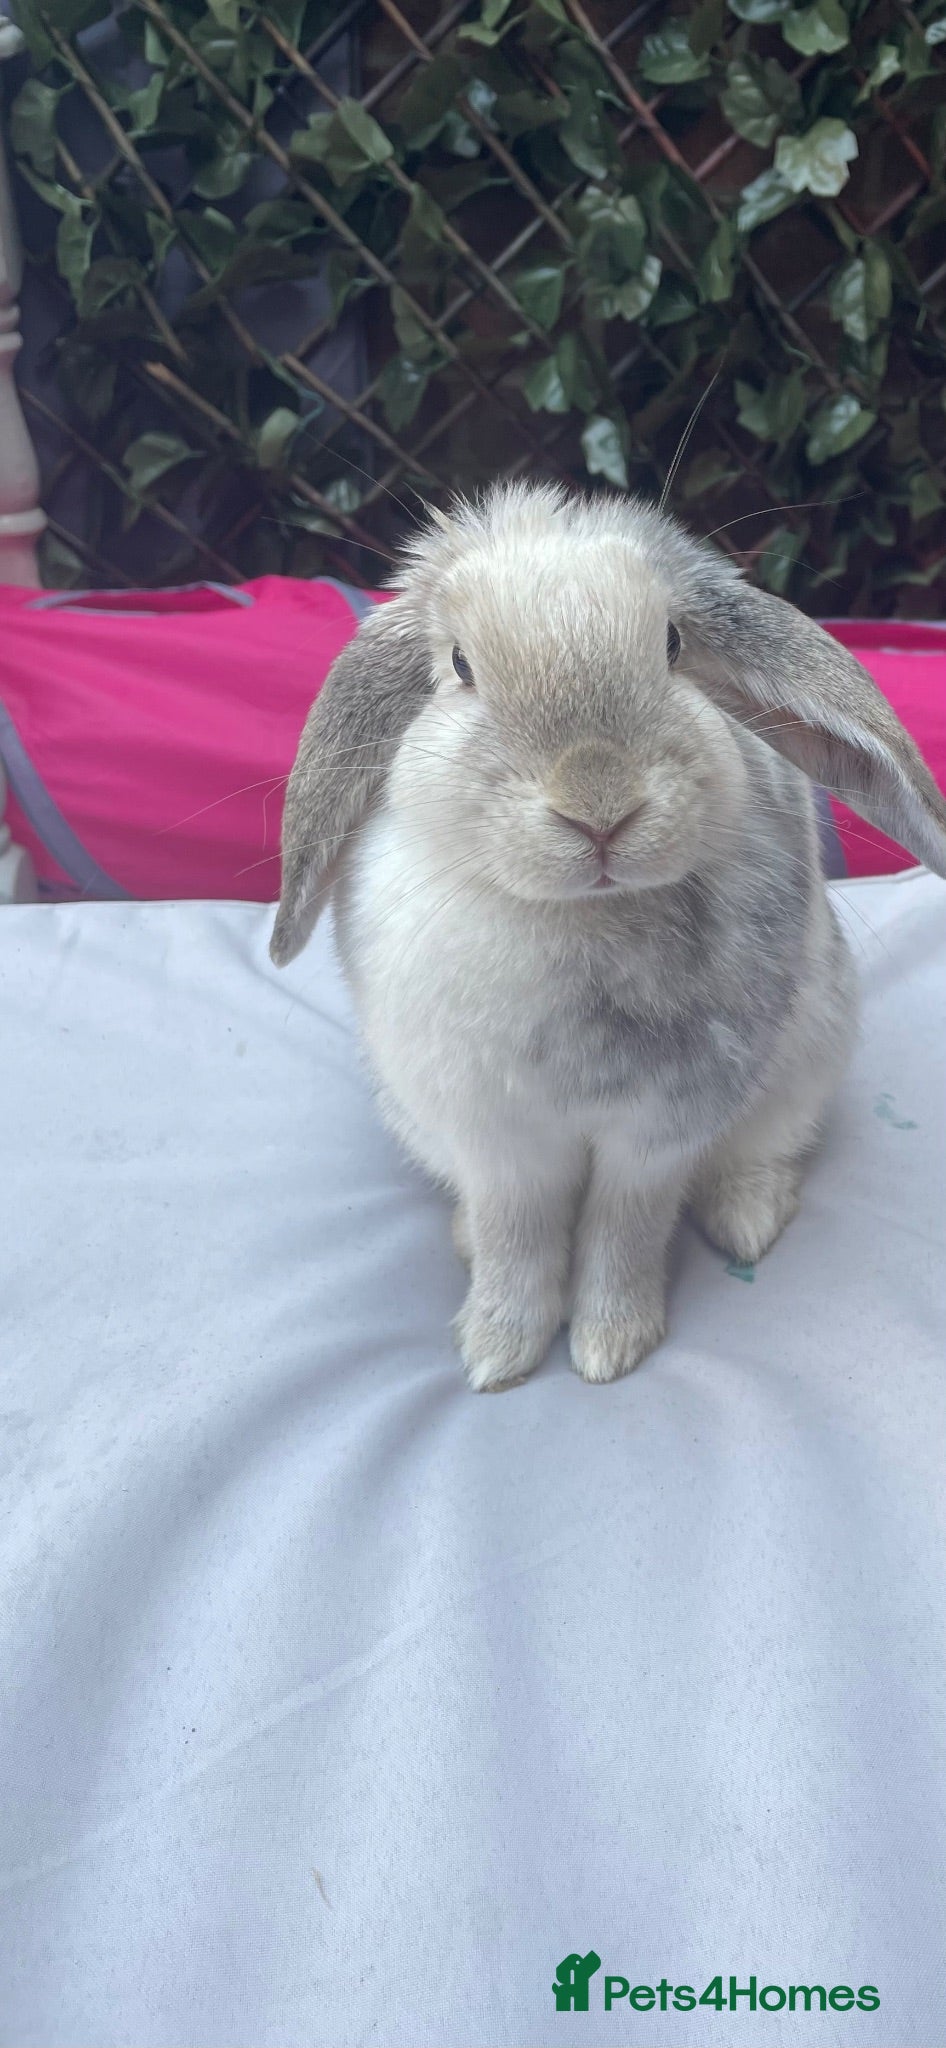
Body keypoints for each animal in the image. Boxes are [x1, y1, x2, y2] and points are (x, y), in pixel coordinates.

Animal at [271, 482, 946, 1392]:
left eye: (672, 644)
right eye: (459, 666)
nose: (599, 806)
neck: (583, 915)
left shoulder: (658, 1137)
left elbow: (627, 1233)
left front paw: (609, 1347)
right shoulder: (500, 1146)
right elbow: (517, 1240)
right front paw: (499, 1354)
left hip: (809, 1064)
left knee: (763, 1154)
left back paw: (747, 1218)